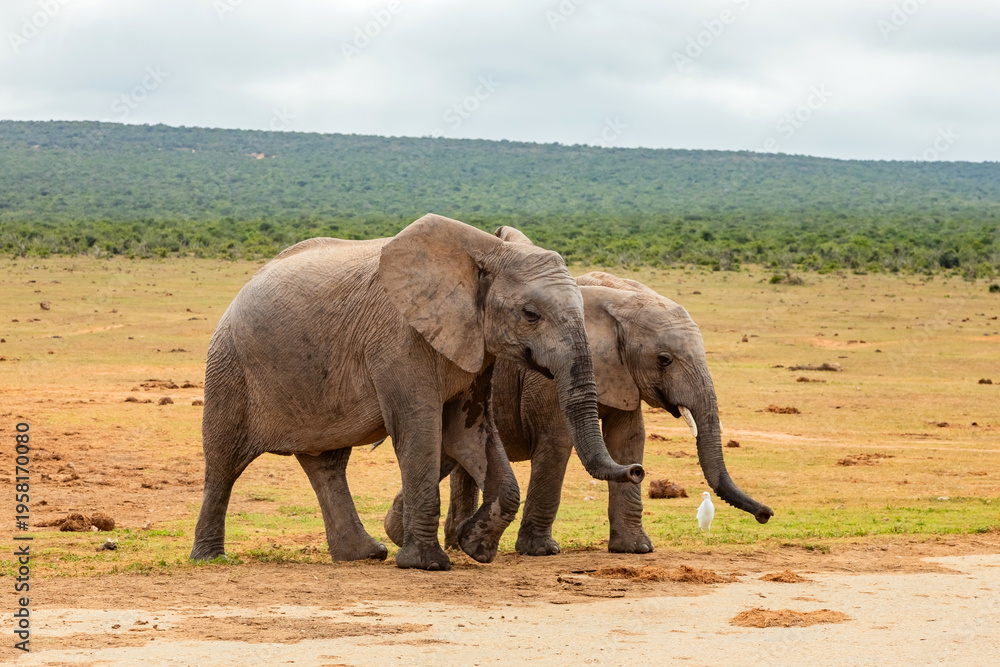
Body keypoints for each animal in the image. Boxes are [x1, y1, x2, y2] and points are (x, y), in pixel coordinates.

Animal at [189, 213, 644, 571]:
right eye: (530, 314)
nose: (637, 470)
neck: (485, 251)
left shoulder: (474, 348)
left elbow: (470, 433)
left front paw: (475, 547)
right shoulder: (398, 340)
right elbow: (419, 431)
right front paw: (427, 564)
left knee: (327, 464)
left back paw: (363, 555)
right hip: (230, 365)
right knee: (225, 460)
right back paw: (210, 557)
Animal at [386, 227, 772, 557]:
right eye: (664, 360)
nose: (766, 514)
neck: (622, 300)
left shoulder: (621, 376)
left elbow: (629, 438)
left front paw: (636, 549)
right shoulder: (548, 372)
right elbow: (557, 441)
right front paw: (542, 551)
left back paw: (442, 541)